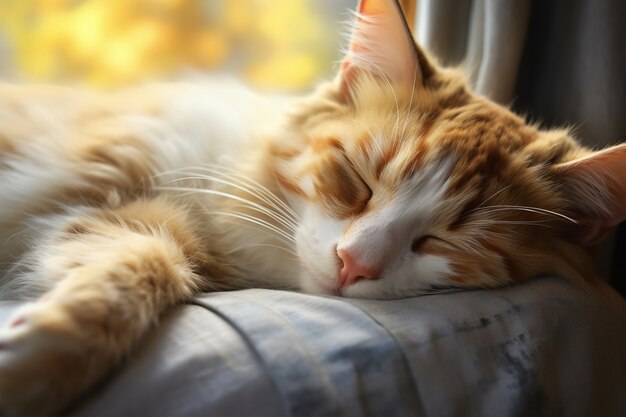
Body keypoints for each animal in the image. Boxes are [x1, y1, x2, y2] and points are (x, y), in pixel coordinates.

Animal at [0, 0, 620, 414]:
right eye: (357, 180)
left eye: (446, 240)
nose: (353, 263)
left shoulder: (129, 222)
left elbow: (136, 273)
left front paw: (36, 361)